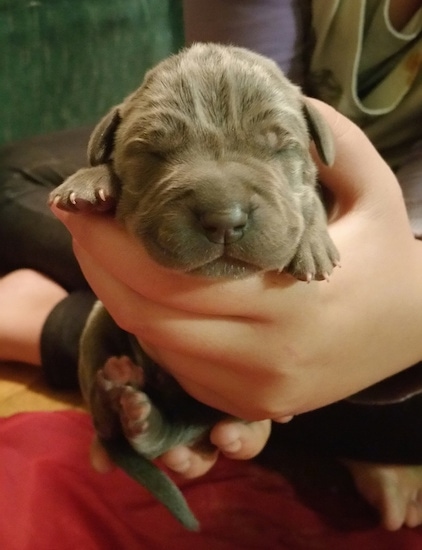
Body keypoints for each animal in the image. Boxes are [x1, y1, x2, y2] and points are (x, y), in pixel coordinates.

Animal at [49, 43, 340, 532]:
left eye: (282, 147)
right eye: (151, 153)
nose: (224, 217)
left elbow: (312, 199)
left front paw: (314, 242)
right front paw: (89, 181)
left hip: (227, 403)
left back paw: (141, 415)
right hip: (96, 329)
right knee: (112, 424)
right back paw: (127, 400)